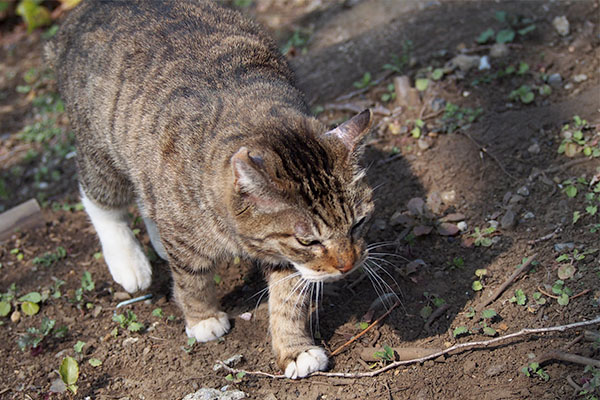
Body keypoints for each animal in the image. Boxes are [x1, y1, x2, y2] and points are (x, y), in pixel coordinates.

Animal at [47, 0, 372, 378]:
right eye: (309, 241)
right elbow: (192, 278)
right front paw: (202, 318)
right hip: (101, 150)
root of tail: (85, 9)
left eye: (358, 223)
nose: (348, 265)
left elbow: (288, 299)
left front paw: (295, 348)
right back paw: (128, 260)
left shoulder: (285, 257)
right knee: (99, 199)